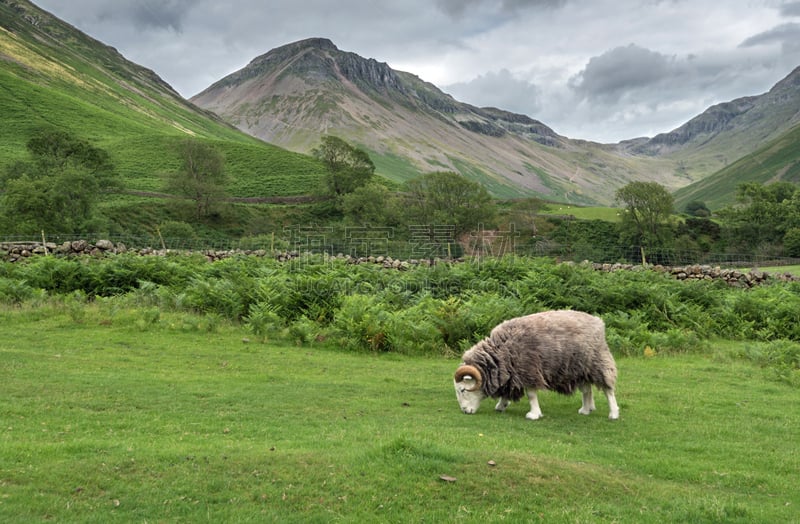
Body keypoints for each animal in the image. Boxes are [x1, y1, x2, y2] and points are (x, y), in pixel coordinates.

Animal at [456, 312, 620, 422]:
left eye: (462, 390)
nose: (465, 411)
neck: (502, 351)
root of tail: (598, 321)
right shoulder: (510, 372)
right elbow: (507, 391)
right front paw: (501, 405)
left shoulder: (529, 370)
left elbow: (531, 395)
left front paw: (534, 414)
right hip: (580, 370)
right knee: (587, 390)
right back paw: (586, 409)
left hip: (599, 363)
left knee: (608, 390)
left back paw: (613, 413)